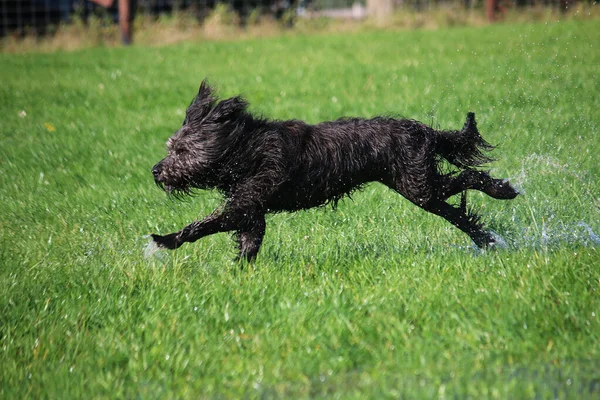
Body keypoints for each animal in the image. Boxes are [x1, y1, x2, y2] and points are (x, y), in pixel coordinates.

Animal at [151, 81, 520, 260]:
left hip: (417, 184)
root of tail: (423, 131)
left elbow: (205, 224)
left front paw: (165, 240)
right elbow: (247, 243)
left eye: (181, 150)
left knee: (468, 178)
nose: (155, 170)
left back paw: (504, 190)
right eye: (171, 147)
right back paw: (488, 240)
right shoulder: (253, 213)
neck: (246, 149)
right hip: (419, 186)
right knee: (460, 213)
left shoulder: (246, 204)